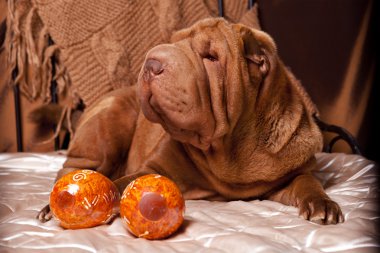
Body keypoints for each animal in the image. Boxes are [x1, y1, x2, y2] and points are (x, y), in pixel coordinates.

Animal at [37, 17, 344, 224]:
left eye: (211, 57)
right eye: (173, 42)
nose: (151, 63)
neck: (227, 151)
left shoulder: (290, 176)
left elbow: (308, 182)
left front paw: (323, 204)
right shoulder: (153, 168)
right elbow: (118, 183)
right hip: (110, 121)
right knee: (73, 167)